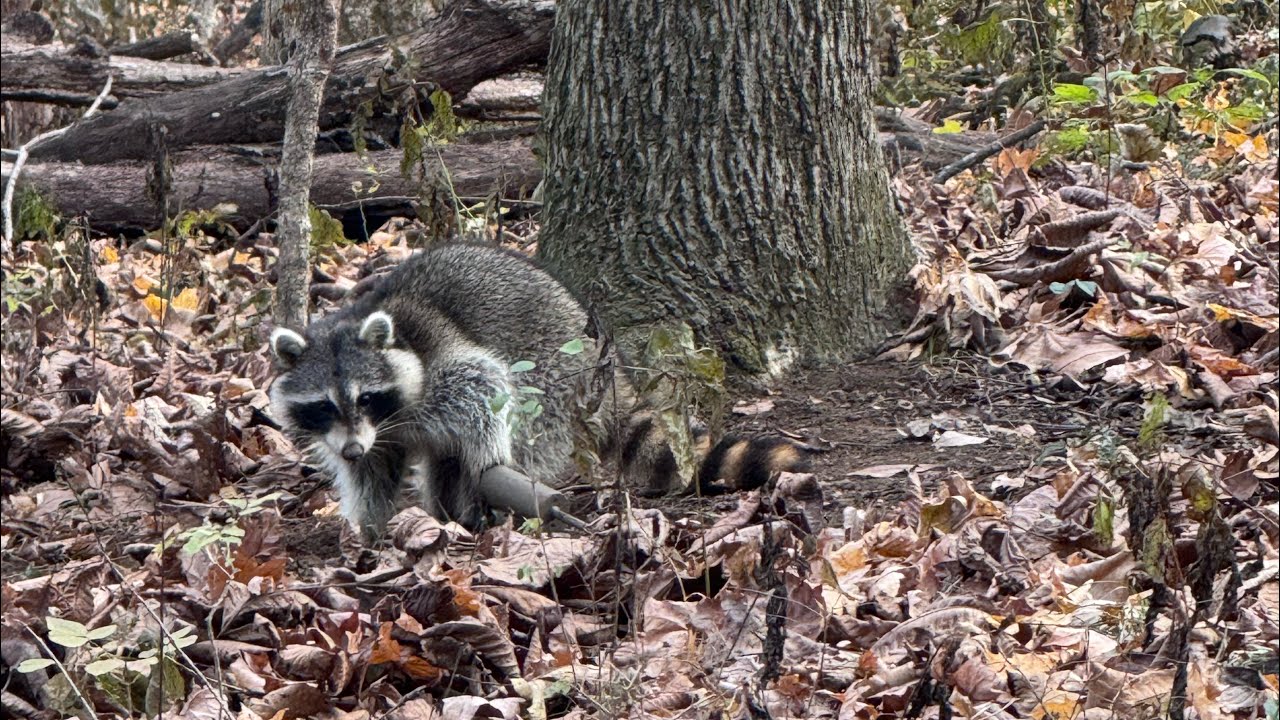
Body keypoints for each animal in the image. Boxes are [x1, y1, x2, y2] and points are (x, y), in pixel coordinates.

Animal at [268, 243, 808, 540]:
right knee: (442, 462)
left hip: (556, 380)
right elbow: (373, 473)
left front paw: (488, 461)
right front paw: (370, 528)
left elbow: (483, 383)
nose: (352, 449)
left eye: (365, 397)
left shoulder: (437, 368)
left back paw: (473, 505)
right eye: (323, 406)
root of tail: (602, 361)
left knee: (517, 420)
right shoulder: (370, 436)